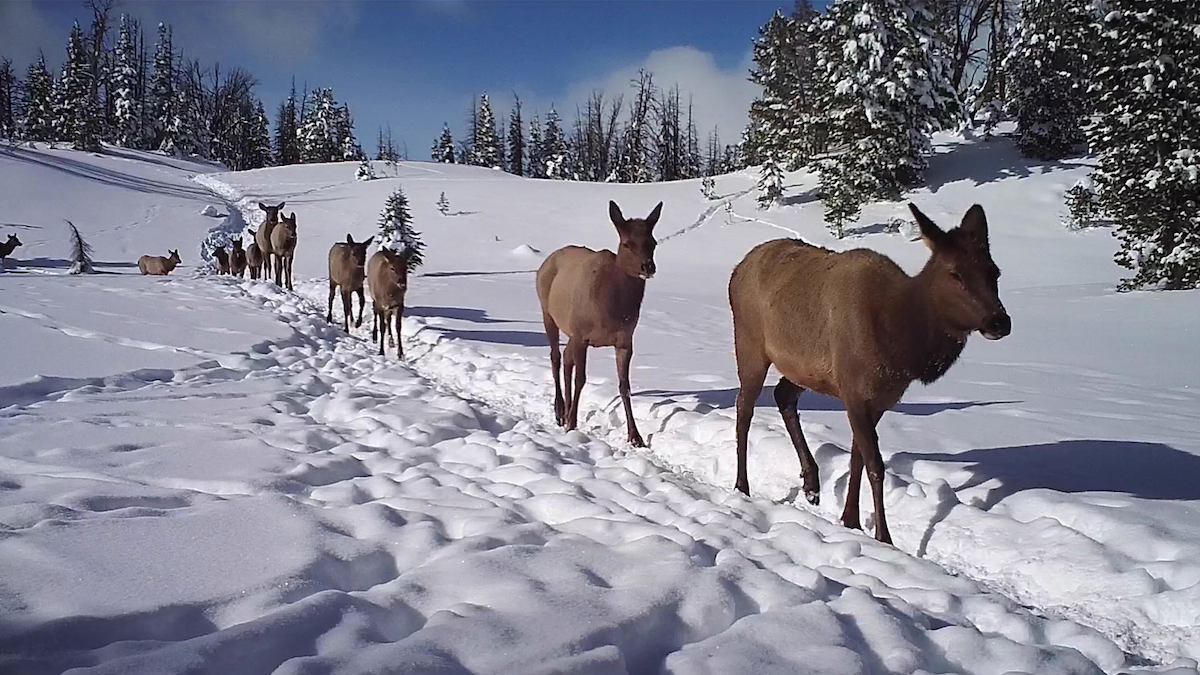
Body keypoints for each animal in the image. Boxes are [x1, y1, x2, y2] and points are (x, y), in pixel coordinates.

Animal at [537, 196, 662, 444]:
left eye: (653, 243)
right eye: (627, 243)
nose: (648, 267)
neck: (612, 310)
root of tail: (547, 260)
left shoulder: (625, 340)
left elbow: (624, 386)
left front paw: (636, 436)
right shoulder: (581, 335)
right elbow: (581, 379)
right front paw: (572, 424)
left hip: (570, 330)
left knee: (566, 358)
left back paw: (565, 411)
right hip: (548, 313)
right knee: (556, 356)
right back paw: (560, 411)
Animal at [724, 204, 1008, 540]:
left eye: (994, 271)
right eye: (955, 273)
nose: (1000, 321)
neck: (900, 345)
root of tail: (737, 270)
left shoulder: (878, 399)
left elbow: (857, 456)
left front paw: (850, 519)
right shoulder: (855, 391)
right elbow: (875, 464)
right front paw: (883, 536)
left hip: (802, 370)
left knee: (783, 395)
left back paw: (811, 483)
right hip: (750, 344)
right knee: (745, 407)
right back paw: (742, 485)